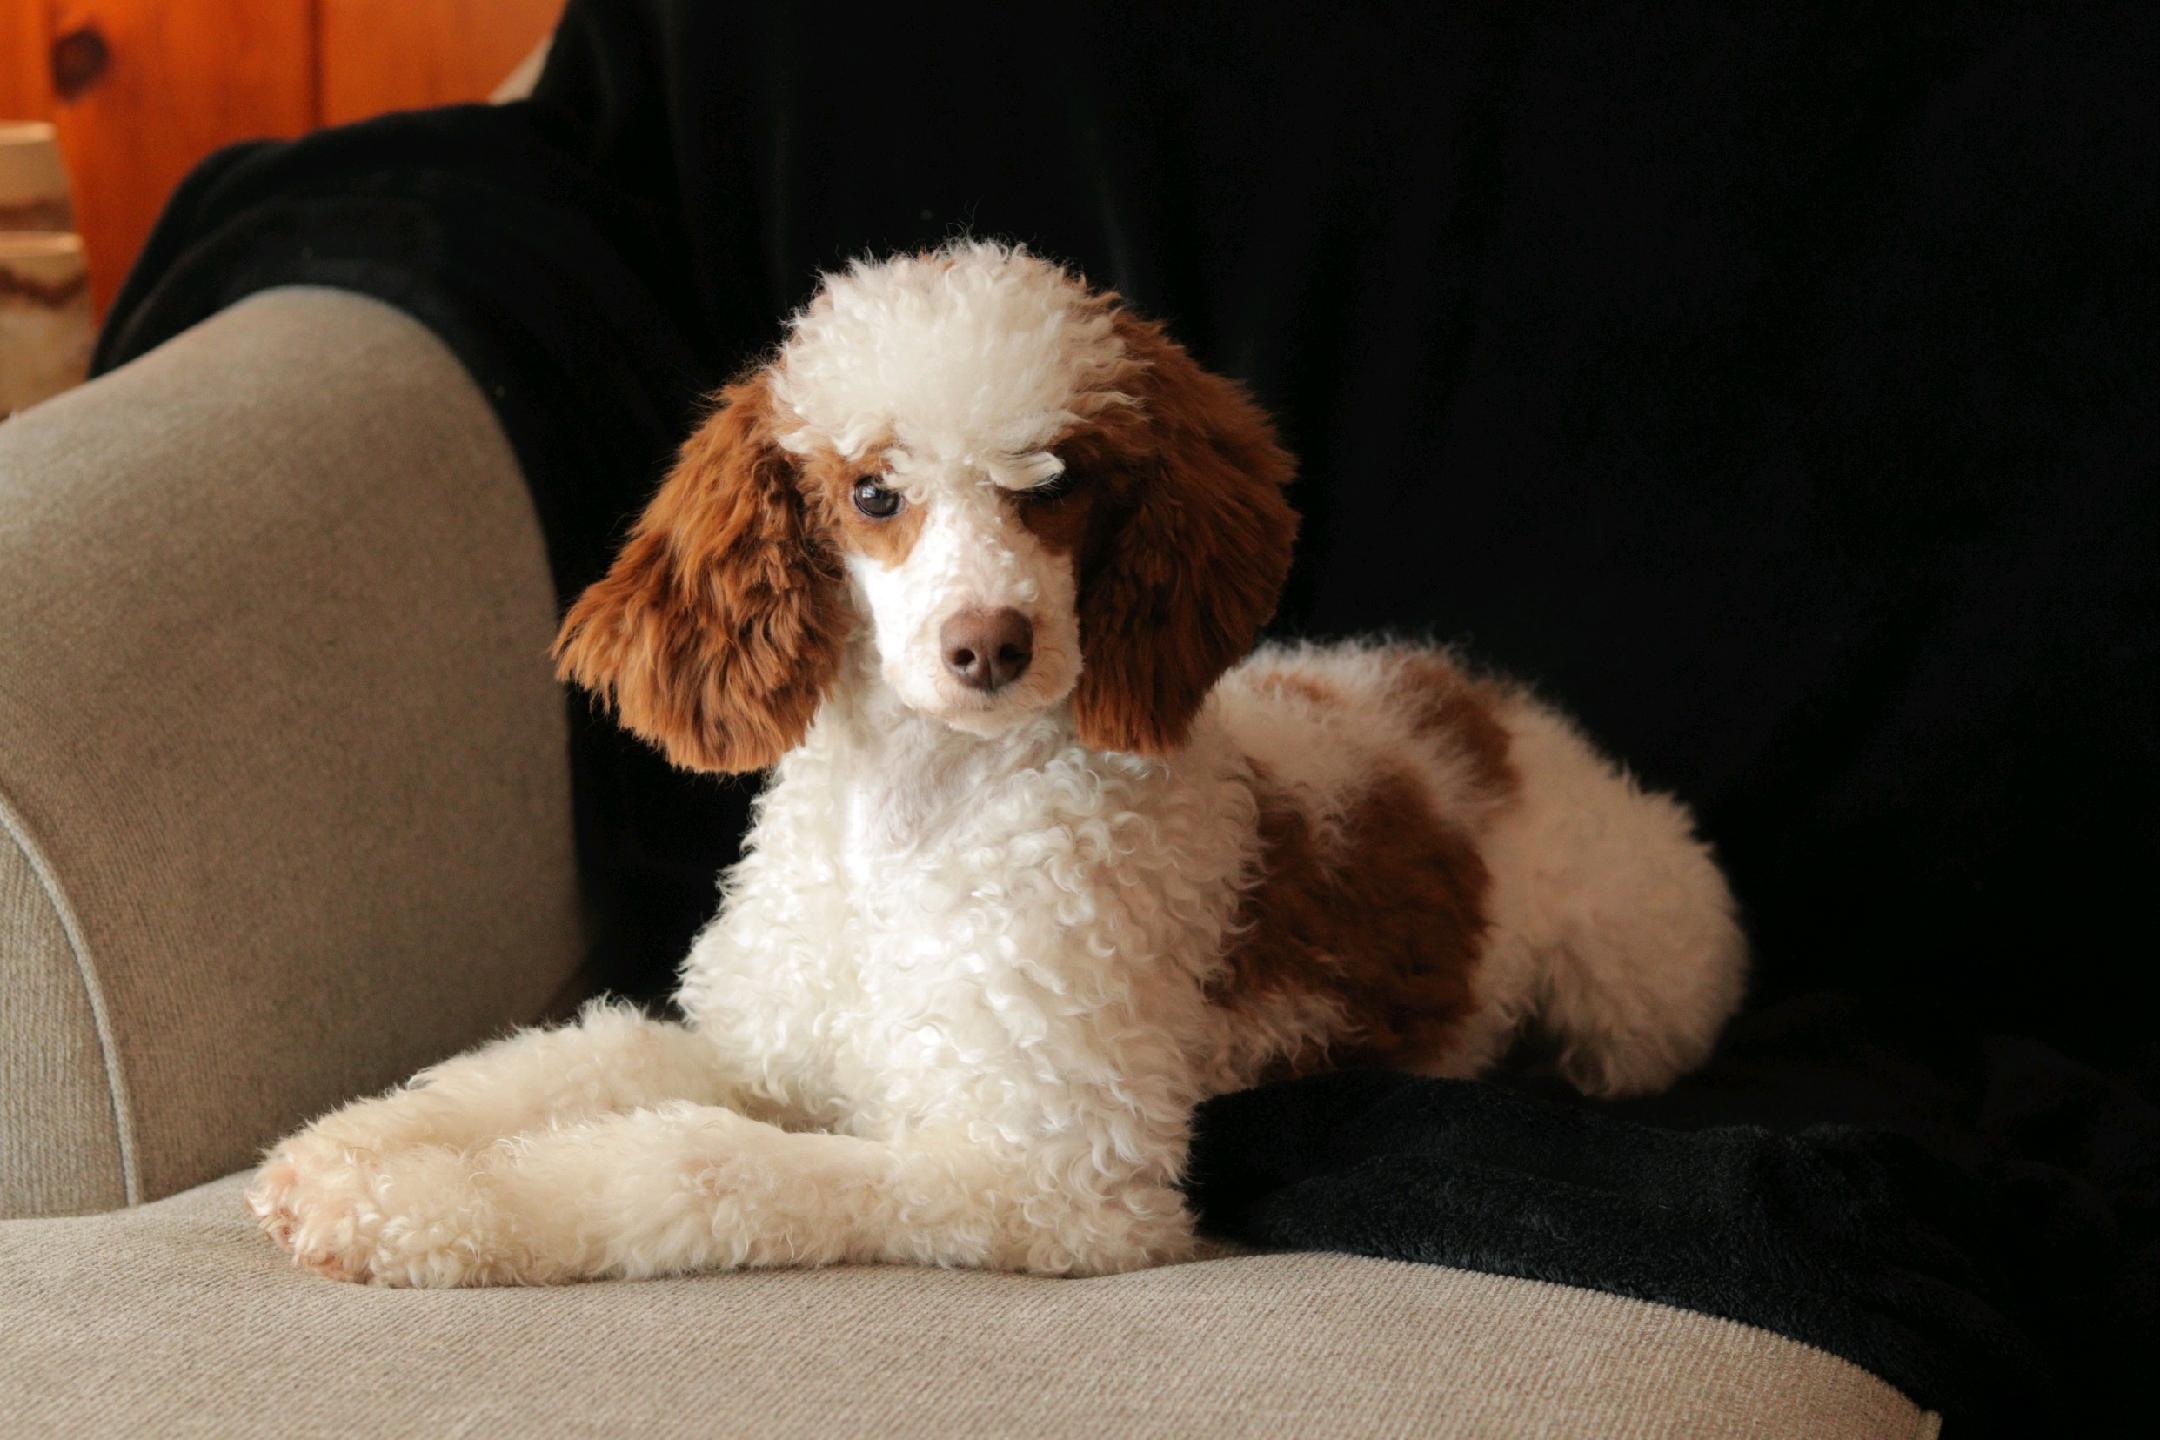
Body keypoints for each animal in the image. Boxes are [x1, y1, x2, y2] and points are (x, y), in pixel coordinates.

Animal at [247, 241, 1746, 1286]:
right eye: (873, 493)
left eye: (1055, 482)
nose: (989, 645)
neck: (919, 827)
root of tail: (1488, 710)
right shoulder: (765, 1049)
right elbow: (564, 1067)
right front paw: (357, 1159)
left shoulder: (1049, 1175)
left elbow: (701, 1165)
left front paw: (440, 1205)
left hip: (1638, 989)